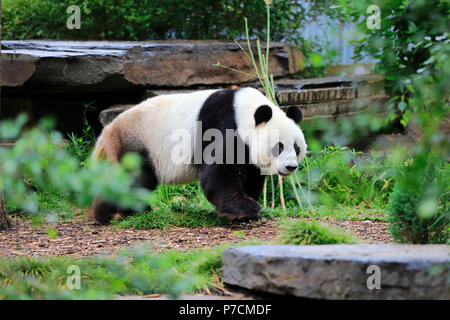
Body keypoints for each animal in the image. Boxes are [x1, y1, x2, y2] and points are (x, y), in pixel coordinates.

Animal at [89, 86, 306, 224]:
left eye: (296, 148)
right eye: (278, 146)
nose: (290, 167)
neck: (244, 111)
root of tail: (106, 133)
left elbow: (250, 175)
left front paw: (249, 202)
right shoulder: (223, 125)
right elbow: (220, 173)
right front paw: (244, 210)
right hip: (138, 145)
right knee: (135, 181)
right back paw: (122, 214)